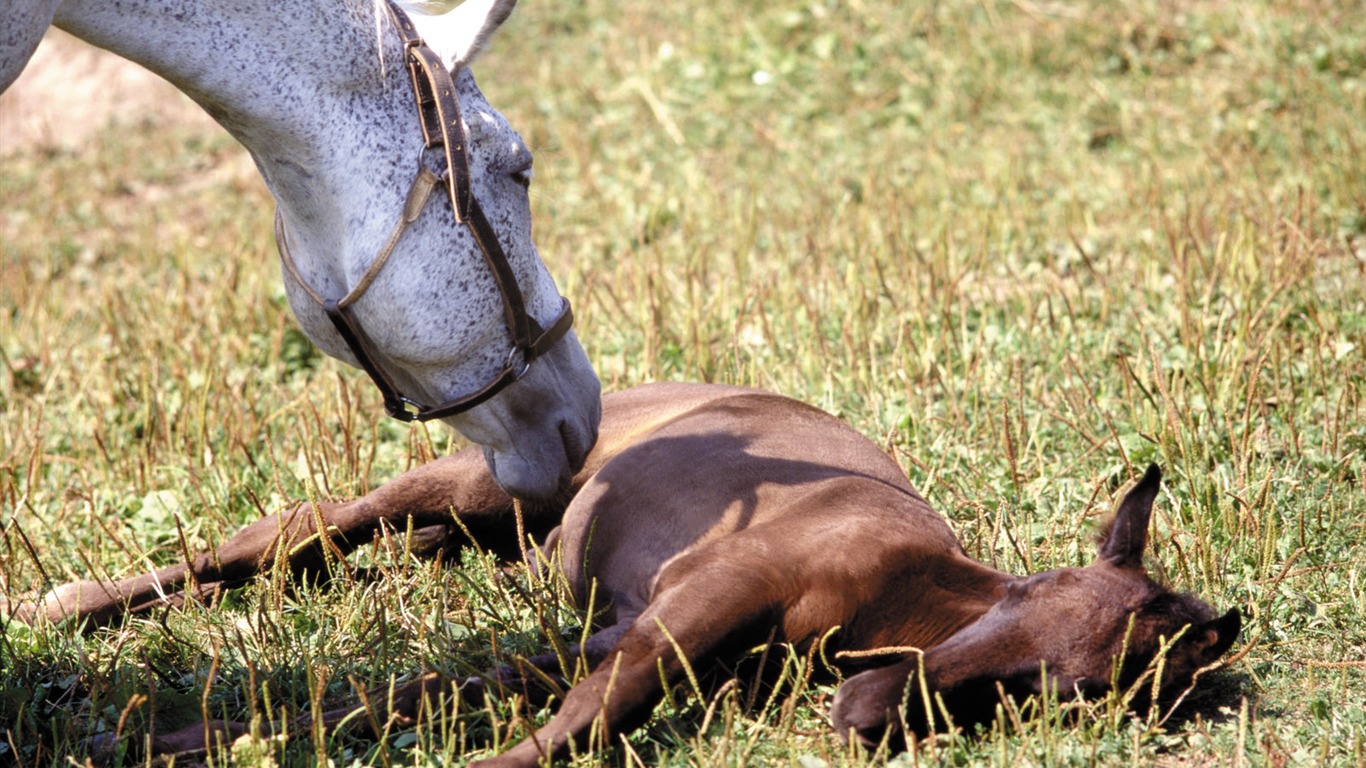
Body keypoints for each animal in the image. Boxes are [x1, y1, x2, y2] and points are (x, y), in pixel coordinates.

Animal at [13, 379, 1251, 759]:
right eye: (1032, 622)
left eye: (1072, 697)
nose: (862, 719)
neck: (888, 593)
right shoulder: (685, 611)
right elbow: (582, 722)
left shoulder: (618, 630)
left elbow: (407, 693)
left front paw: (148, 738)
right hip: (475, 482)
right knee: (292, 534)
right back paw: (62, 608)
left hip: (497, 530)